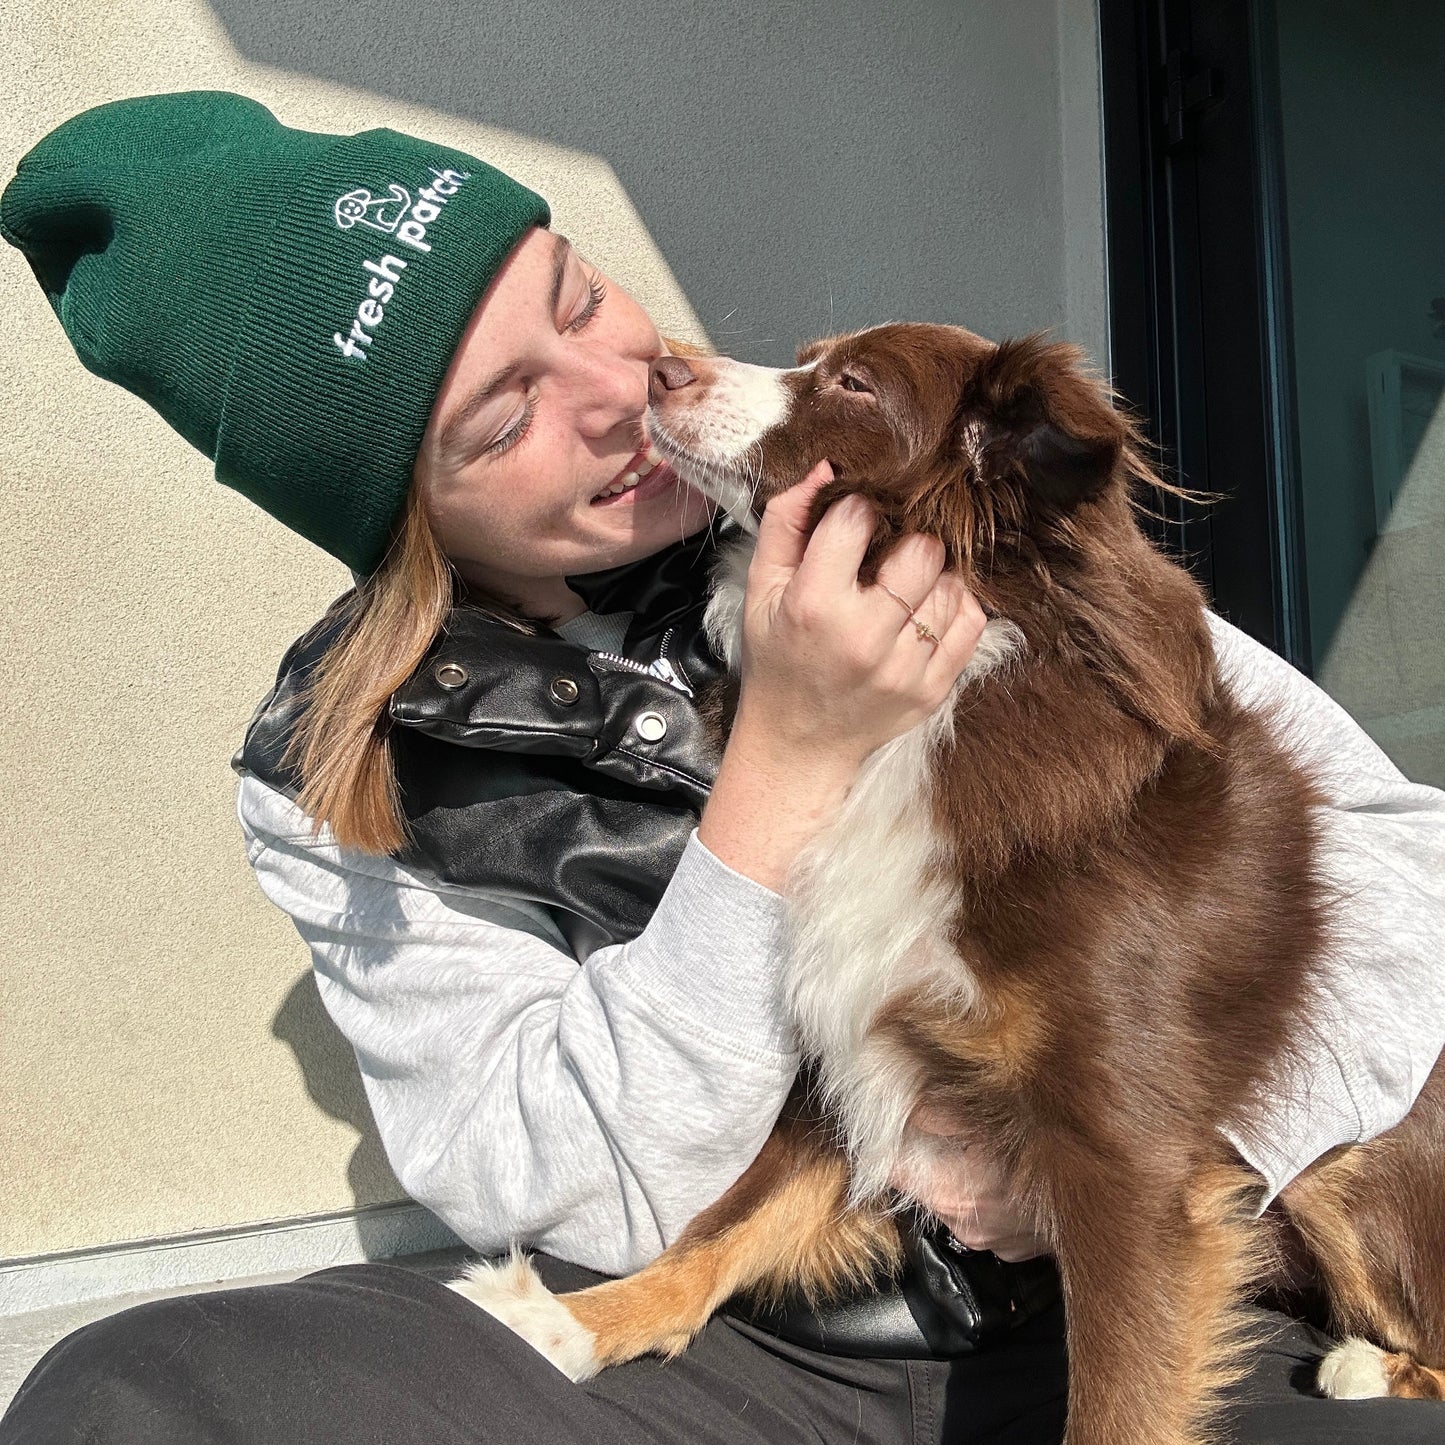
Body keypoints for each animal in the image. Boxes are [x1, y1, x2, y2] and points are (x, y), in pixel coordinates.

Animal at [453, 328, 1445, 1445]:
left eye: (849, 383)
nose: (661, 367)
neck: (940, 703)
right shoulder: (861, 1058)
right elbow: (721, 1227)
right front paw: (574, 1320)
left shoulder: (1127, 1155)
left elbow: (1115, 1402)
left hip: (1347, 1158)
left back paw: (1365, 1364)